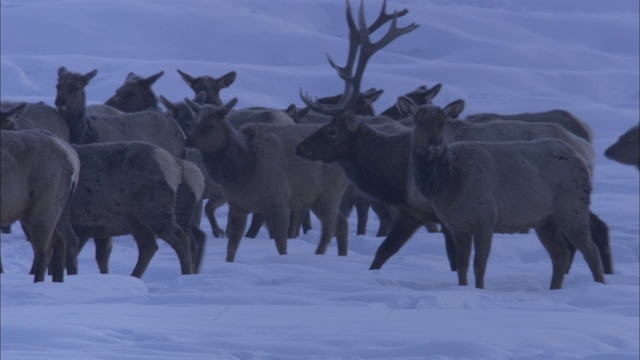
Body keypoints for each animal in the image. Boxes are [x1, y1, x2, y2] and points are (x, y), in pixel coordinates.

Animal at [410, 100, 604, 290]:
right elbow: (461, 265)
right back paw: (554, 289)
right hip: (546, 220)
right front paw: (463, 288)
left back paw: (599, 284)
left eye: (442, 122)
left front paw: (479, 289)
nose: (435, 142)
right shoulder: (456, 225)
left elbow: (479, 264)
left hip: (572, 207)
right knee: (561, 254)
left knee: (590, 250)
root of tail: (583, 158)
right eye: (419, 122)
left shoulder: (485, 217)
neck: (450, 186)